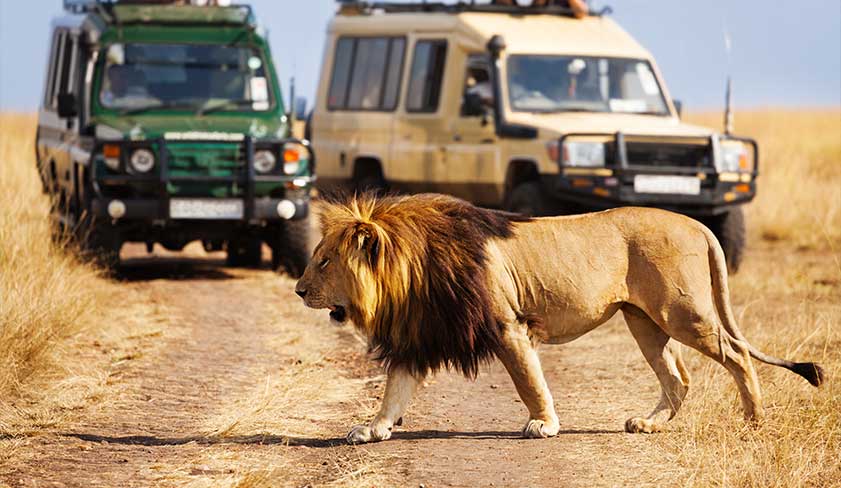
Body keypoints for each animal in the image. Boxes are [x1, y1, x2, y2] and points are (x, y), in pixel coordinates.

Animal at [294, 193, 825, 444]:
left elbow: (529, 381)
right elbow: (394, 390)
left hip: (682, 312)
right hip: (643, 321)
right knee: (679, 377)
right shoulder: (418, 336)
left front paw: (544, 425)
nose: (299, 290)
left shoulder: (507, 325)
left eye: (324, 261)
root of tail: (697, 223)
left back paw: (754, 420)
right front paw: (373, 429)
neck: (410, 273)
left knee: (736, 354)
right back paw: (648, 424)